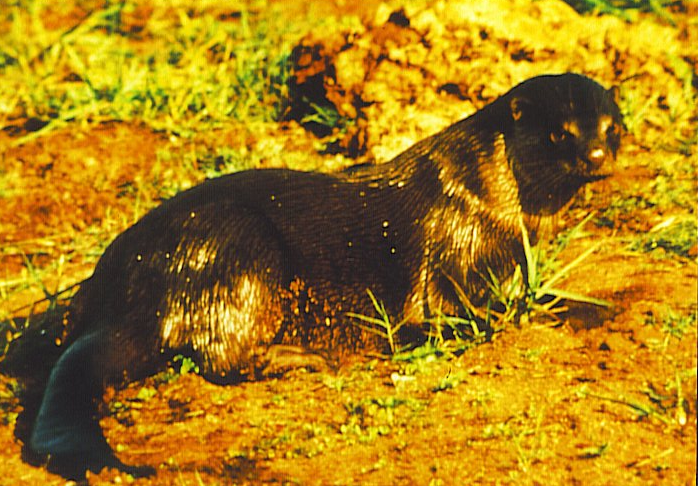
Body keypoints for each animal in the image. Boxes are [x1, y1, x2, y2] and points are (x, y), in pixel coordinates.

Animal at [27, 73, 620, 478]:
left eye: (612, 127)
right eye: (559, 135)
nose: (595, 153)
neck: (489, 199)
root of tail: (131, 284)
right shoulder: (449, 248)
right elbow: (455, 317)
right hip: (242, 255)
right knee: (220, 354)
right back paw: (304, 358)